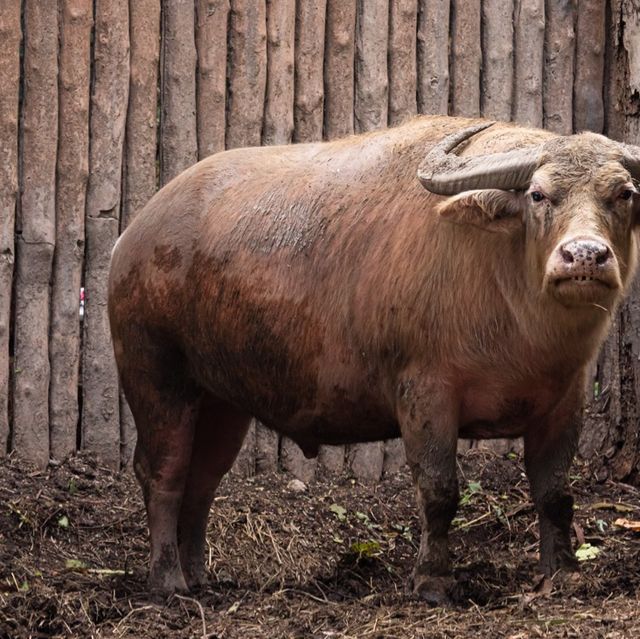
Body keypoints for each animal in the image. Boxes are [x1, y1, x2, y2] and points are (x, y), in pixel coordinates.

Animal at [109, 117, 640, 604]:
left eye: (625, 193)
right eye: (537, 194)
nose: (585, 255)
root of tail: (134, 235)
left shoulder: (565, 399)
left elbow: (555, 492)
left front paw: (563, 574)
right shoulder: (425, 394)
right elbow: (439, 489)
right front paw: (433, 582)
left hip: (222, 402)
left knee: (203, 479)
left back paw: (200, 577)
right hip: (156, 378)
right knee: (162, 473)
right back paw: (169, 582)